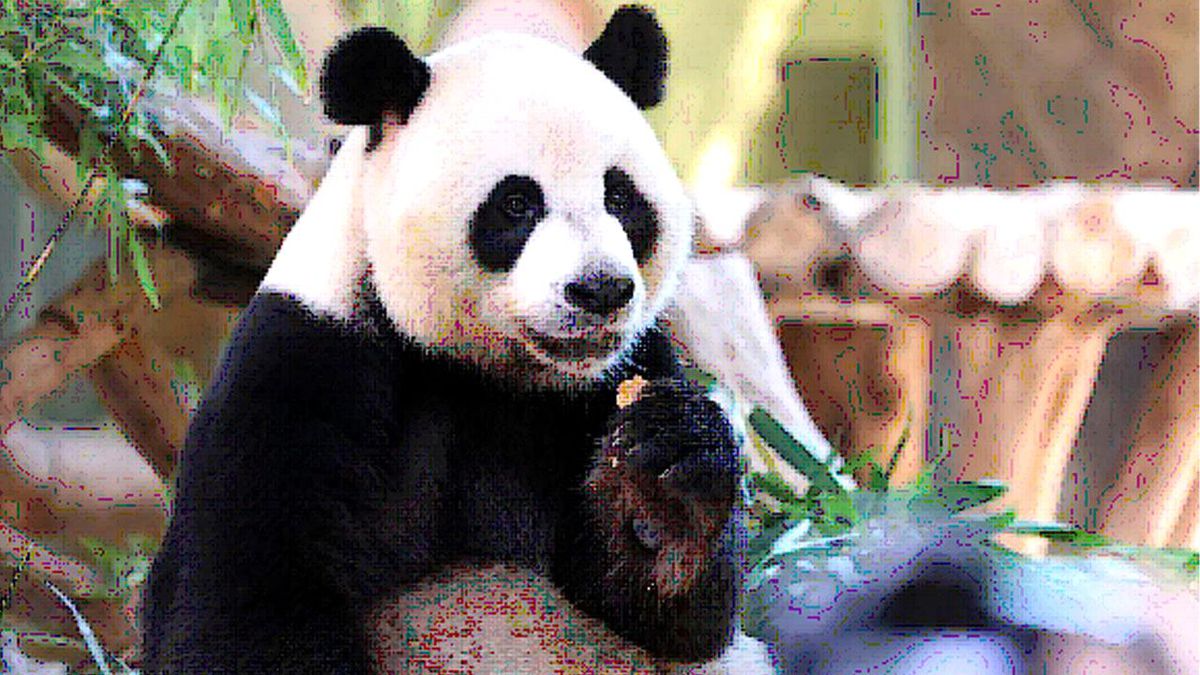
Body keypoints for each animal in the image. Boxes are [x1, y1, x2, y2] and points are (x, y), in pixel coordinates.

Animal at [142, 6, 753, 673]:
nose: (599, 290)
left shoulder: (624, 370)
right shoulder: (301, 362)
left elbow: (661, 619)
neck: (489, 372)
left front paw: (663, 492)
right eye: (517, 203)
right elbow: (240, 610)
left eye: (619, 195)